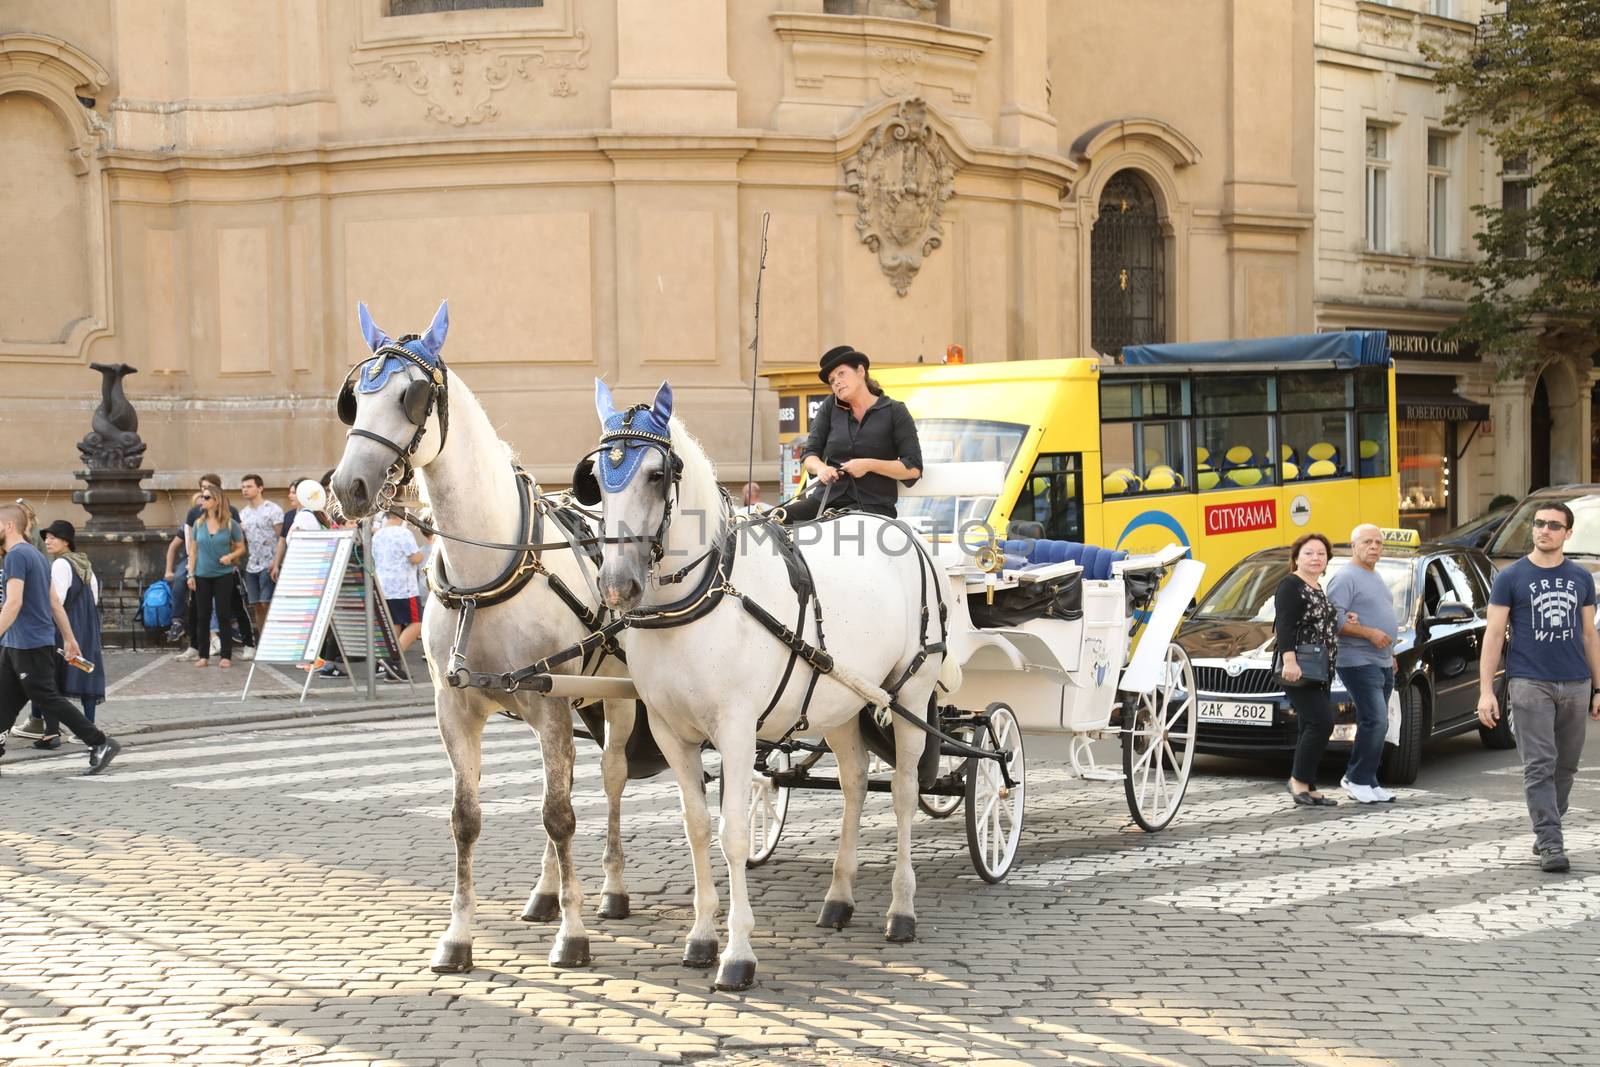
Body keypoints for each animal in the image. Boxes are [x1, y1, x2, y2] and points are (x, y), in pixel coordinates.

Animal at [331, 300, 643, 979]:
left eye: (412, 395)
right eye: (354, 397)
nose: (347, 489)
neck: (488, 573)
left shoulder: (552, 702)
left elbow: (559, 814)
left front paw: (574, 936)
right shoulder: (456, 707)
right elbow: (468, 820)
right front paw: (458, 938)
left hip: (620, 701)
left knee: (608, 781)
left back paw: (609, 890)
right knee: (568, 785)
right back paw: (546, 893)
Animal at [579, 377, 940, 991]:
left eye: (656, 475)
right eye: (599, 479)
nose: (617, 585)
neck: (701, 595)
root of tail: (897, 529)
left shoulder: (736, 729)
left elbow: (733, 835)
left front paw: (738, 953)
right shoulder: (672, 733)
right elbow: (698, 827)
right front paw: (702, 936)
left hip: (910, 694)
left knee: (904, 794)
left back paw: (903, 909)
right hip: (840, 703)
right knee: (853, 784)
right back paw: (839, 897)